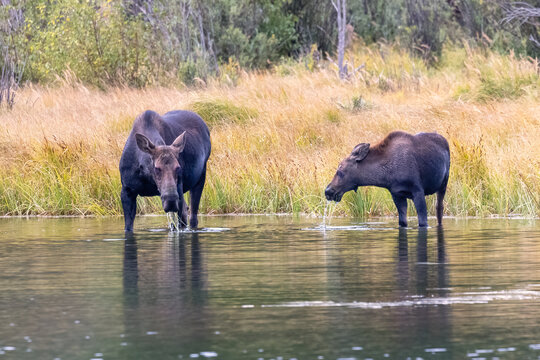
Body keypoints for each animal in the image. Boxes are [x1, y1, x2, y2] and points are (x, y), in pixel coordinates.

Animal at [324, 131, 452, 228]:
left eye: (340, 170)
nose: (328, 191)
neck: (386, 175)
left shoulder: (418, 191)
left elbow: (423, 222)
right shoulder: (397, 194)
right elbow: (402, 222)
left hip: (443, 184)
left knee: (439, 209)